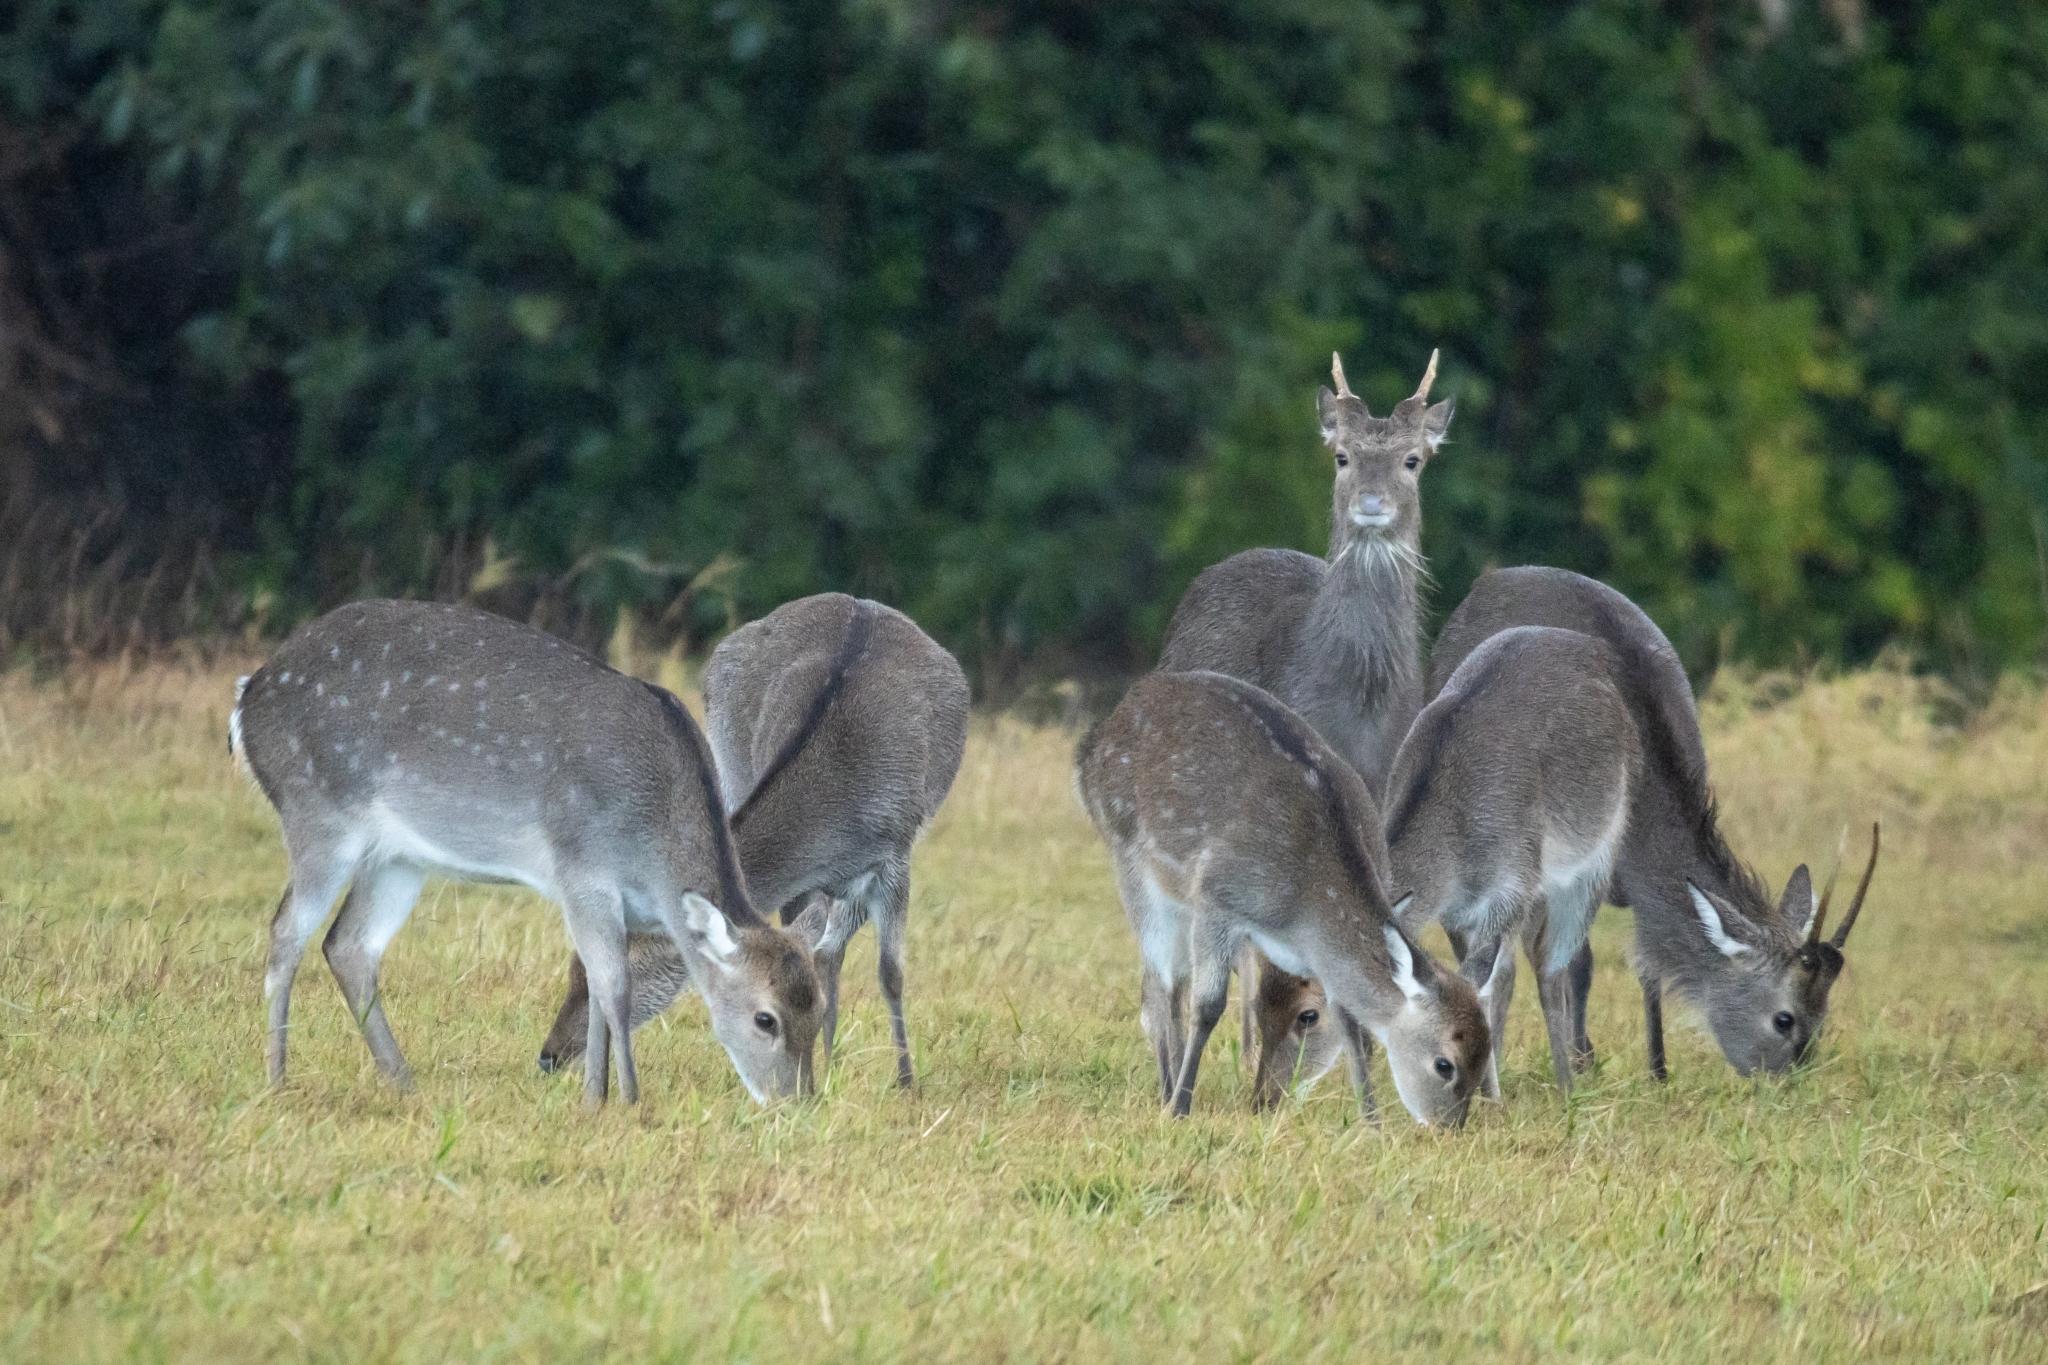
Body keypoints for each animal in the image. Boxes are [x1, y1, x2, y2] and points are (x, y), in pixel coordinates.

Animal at [229, 598, 823, 1108]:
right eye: (765, 1019)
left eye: (817, 1010)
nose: (797, 1101)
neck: (653, 860)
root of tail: (247, 695)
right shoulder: (582, 868)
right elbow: (615, 986)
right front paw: (625, 1099)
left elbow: (598, 988)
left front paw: (593, 1097)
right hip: (319, 812)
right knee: (287, 931)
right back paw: (277, 1078)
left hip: (398, 857)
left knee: (349, 944)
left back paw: (403, 1081)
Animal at [536, 593, 968, 1089]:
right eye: (575, 967)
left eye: (603, 978)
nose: (548, 1056)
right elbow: (806, 953)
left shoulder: (896, 851)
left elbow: (889, 971)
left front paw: (905, 1081)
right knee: (829, 952)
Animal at [1074, 669, 1493, 1125]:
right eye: (1444, 1064)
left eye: (1484, 1055)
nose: (1448, 1127)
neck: (1300, 913)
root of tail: (1094, 739)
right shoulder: (1218, 898)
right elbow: (1208, 1005)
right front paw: (1181, 1109)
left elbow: (1347, 1019)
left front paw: (1371, 1122)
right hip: (1130, 857)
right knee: (1162, 987)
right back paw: (1170, 1094)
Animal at [1246, 626, 1641, 1107]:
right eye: (1258, 1005)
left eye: (1308, 1015)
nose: (1263, 1099)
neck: (1458, 856)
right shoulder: (1458, 911)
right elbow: (1471, 979)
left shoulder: (1514, 883)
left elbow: (1486, 981)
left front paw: (1490, 1099)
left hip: (1598, 851)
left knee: (1552, 961)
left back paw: (1567, 1084)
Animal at [1429, 566, 1882, 1079]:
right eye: (1783, 1019)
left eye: (1824, 1017)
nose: (1787, 1080)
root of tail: (1492, 579)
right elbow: (1560, 962)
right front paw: (1568, 1063)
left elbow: (1643, 964)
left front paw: (1657, 1069)